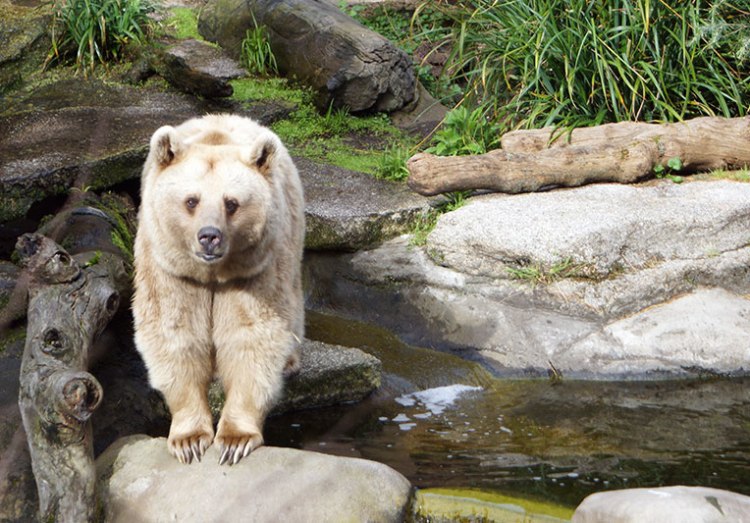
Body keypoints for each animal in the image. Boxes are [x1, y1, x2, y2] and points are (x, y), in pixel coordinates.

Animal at [132, 114, 305, 465]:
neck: (212, 272)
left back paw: (291, 361)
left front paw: (235, 439)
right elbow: (175, 331)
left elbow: (251, 336)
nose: (209, 236)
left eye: (232, 203)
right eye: (191, 200)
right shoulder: (171, 270)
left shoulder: (254, 269)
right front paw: (189, 440)